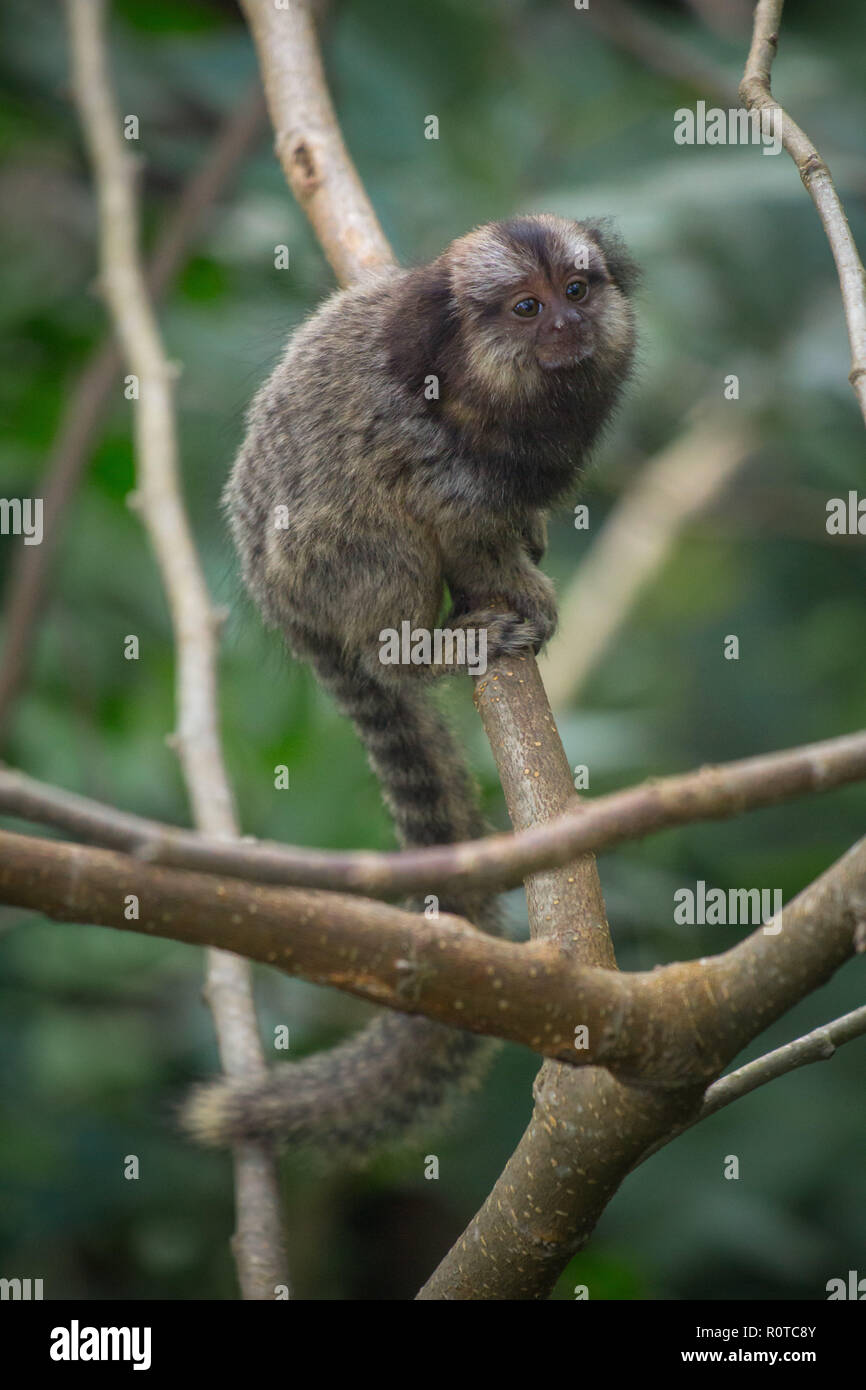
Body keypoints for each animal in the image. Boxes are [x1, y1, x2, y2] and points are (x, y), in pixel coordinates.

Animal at [184, 211, 636, 1156]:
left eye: (578, 291)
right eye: (526, 308)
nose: (566, 326)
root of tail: (285, 609)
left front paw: (534, 533)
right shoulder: (436, 454)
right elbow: (459, 526)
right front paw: (521, 591)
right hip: (325, 567)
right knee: (378, 543)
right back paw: (422, 648)